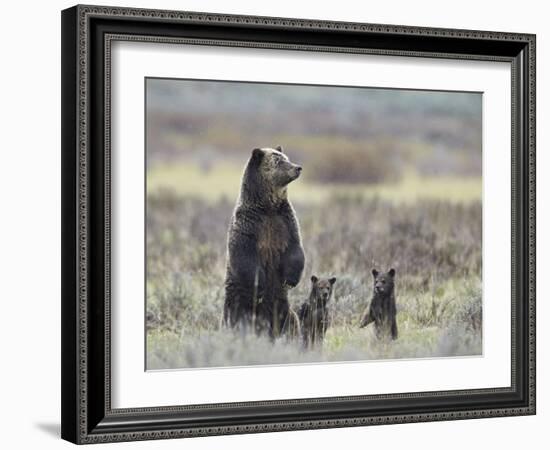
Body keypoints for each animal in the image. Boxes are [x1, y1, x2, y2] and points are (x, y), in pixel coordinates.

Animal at [223, 146, 306, 340]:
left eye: (286, 157)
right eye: (278, 161)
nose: (297, 167)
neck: (268, 208)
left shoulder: (285, 222)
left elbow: (295, 249)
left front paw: (290, 279)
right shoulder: (249, 225)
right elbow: (244, 255)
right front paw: (259, 285)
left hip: (281, 305)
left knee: (290, 321)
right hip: (238, 300)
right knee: (236, 318)